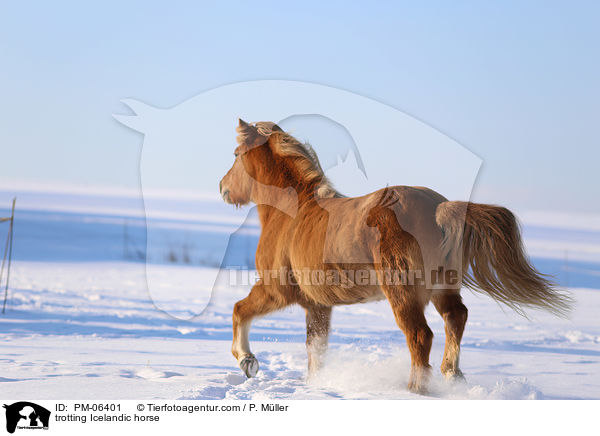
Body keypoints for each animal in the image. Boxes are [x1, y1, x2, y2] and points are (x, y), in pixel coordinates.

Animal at [220, 119, 572, 396]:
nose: (222, 187)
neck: (292, 214)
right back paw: (451, 376)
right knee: (456, 318)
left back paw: (415, 388)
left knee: (420, 335)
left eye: (235, 155)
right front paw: (316, 384)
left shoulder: (277, 290)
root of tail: (439, 207)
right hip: (443, 288)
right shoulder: (318, 306)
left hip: (402, 293)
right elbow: (316, 350)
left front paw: (248, 361)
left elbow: (239, 309)